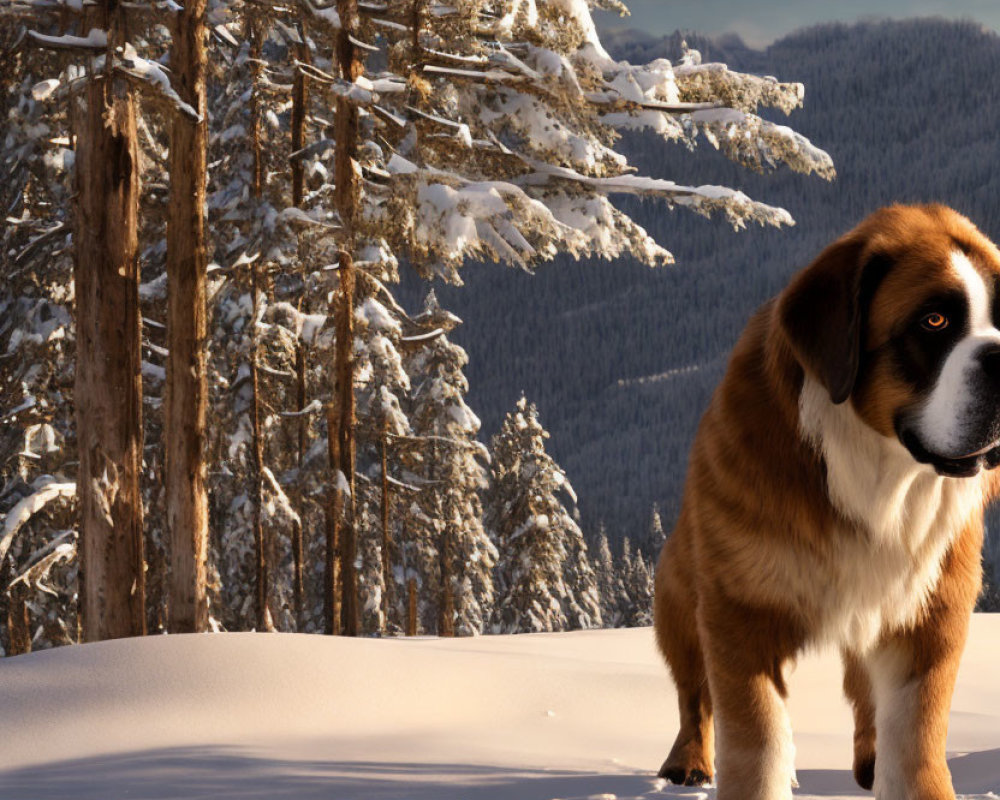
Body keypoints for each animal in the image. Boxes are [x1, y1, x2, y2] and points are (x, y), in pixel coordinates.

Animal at [652, 205, 1000, 800]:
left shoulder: (932, 609)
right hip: (679, 592)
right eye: (933, 322)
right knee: (693, 693)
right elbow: (757, 738)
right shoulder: (740, 608)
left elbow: (917, 734)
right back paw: (688, 762)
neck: (879, 475)